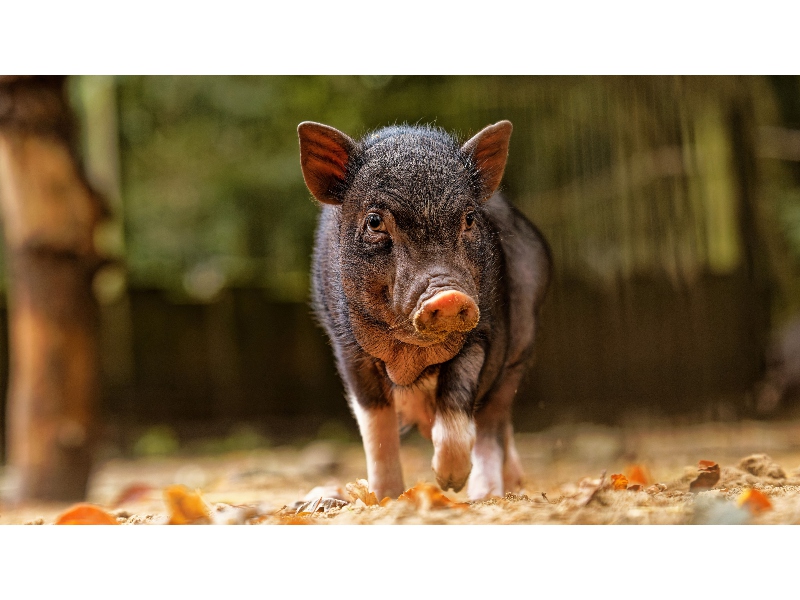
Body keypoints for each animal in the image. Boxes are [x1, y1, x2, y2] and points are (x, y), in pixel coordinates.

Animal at [298, 119, 552, 500]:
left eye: (469, 218)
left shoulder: (485, 333)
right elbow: (376, 427)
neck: (412, 356)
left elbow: (458, 398)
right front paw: (386, 497)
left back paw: (487, 493)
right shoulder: (348, 349)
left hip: (517, 356)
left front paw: (449, 483)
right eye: (374, 222)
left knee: (492, 423)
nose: (448, 297)